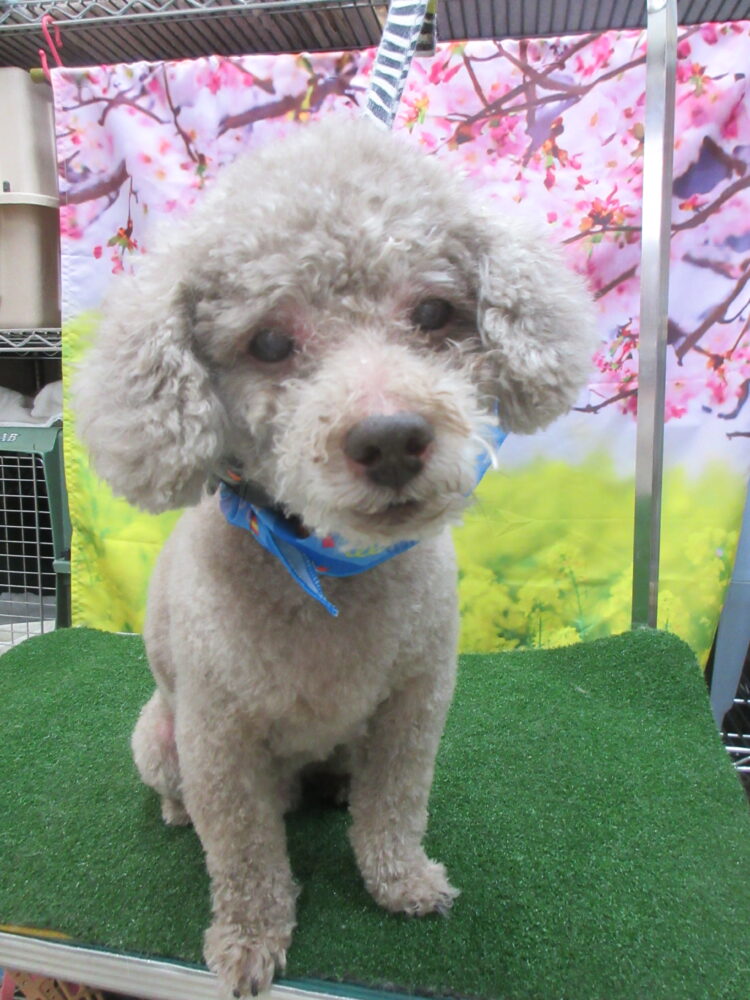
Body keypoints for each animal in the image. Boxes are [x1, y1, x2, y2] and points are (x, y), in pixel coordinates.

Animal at [75, 114, 596, 998]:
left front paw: (402, 882)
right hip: (161, 736)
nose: (390, 438)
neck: (325, 568)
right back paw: (180, 812)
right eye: (269, 341)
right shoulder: (219, 735)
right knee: (189, 798)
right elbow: (245, 854)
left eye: (434, 311)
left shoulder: (416, 703)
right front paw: (249, 939)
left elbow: (395, 806)